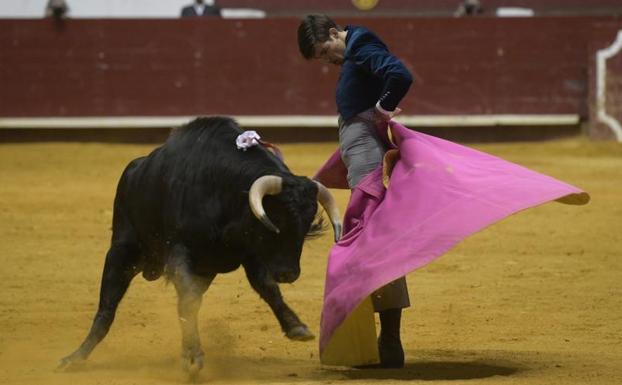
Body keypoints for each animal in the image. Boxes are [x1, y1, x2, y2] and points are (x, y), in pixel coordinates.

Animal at [58, 116, 342, 372]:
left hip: (203, 271)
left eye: (306, 223)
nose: (289, 274)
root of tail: (134, 170)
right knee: (107, 307)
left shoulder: (250, 253)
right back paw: (74, 358)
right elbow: (189, 299)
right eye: (278, 218)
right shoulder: (179, 251)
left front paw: (296, 327)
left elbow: (267, 288)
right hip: (121, 251)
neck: (225, 189)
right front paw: (193, 356)